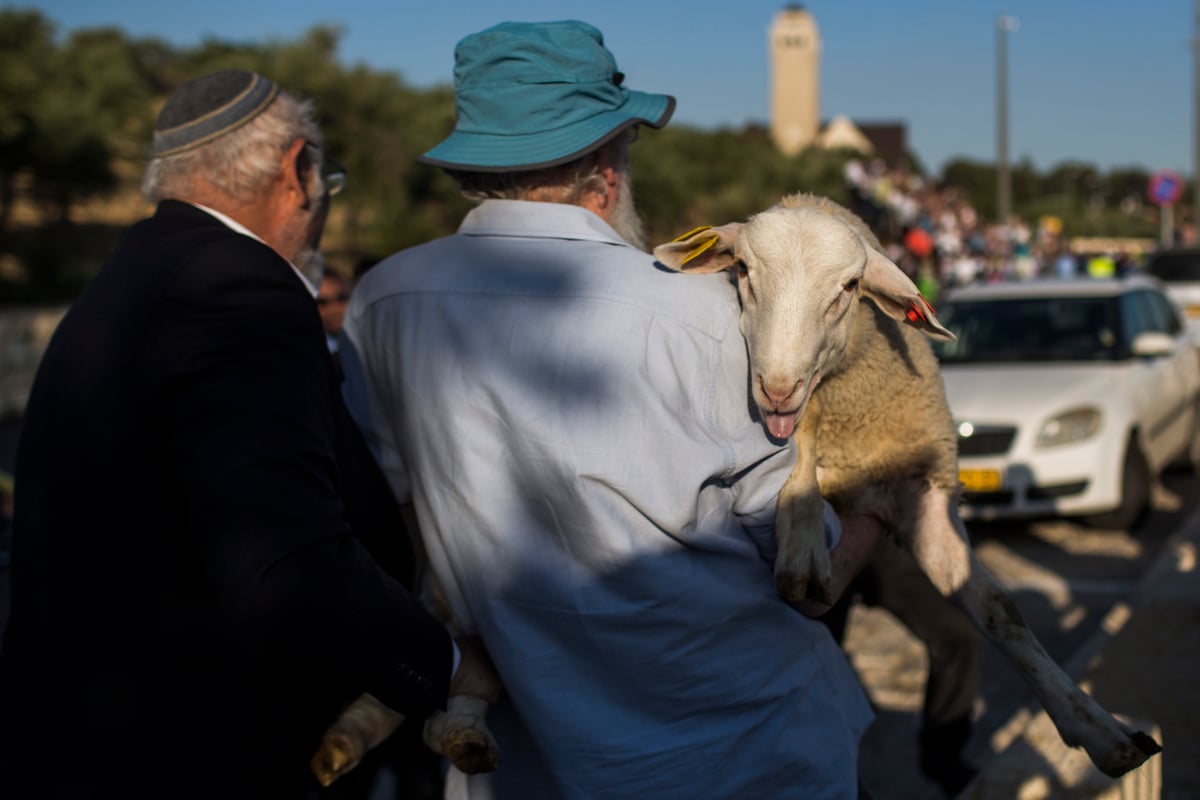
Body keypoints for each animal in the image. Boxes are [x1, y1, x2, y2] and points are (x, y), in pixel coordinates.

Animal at [657, 194, 1161, 782]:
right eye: (742, 271)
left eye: (850, 287)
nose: (777, 389)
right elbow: (800, 454)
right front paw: (802, 540)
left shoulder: (922, 492)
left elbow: (999, 609)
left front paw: (1100, 730)